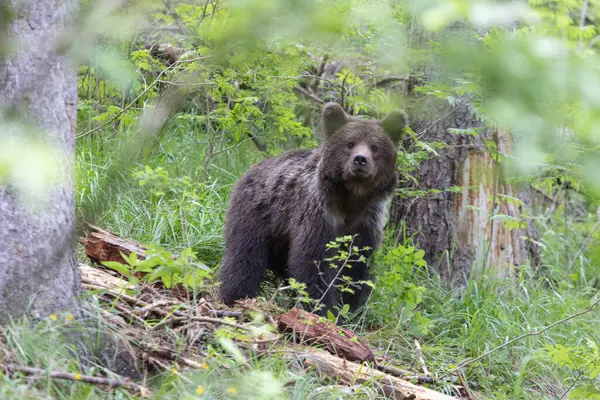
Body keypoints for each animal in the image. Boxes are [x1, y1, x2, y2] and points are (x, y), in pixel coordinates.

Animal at [218, 102, 410, 316]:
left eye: (375, 147)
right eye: (350, 143)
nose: (360, 159)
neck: (351, 197)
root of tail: (253, 169)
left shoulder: (366, 222)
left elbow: (355, 266)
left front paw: (350, 307)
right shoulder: (318, 213)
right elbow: (315, 263)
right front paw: (325, 309)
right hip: (257, 215)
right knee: (245, 258)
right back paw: (234, 296)